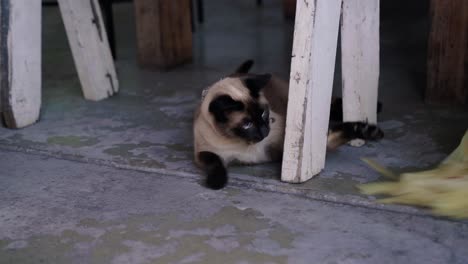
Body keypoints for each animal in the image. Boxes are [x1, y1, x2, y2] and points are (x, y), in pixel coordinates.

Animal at [192, 60, 382, 190]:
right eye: (247, 124)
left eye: (263, 114)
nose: (264, 131)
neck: (246, 145)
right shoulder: (203, 153)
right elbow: (215, 162)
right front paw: (216, 183)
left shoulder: (291, 149)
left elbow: (345, 130)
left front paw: (370, 131)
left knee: (332, 105)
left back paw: (378, 107)